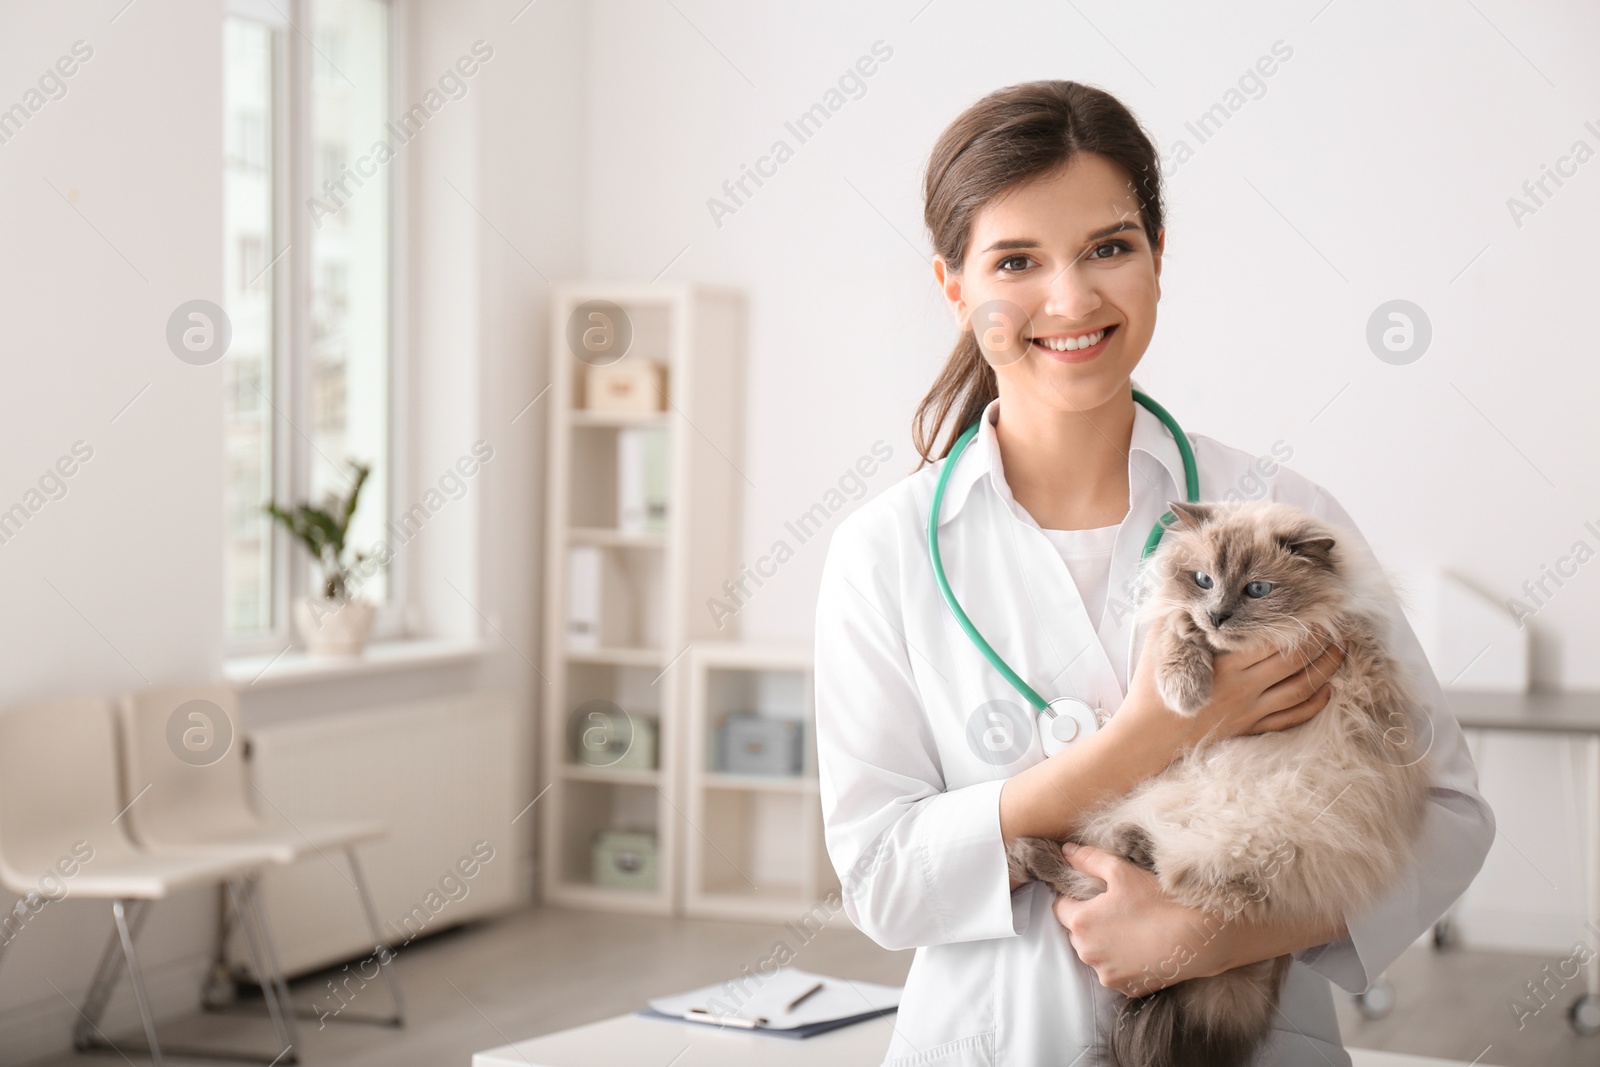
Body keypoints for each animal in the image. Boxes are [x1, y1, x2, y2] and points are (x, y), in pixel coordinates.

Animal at [1004, 499, 1433, 1067]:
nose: (1219, 615)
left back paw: (1102, 848)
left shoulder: (1356, 653)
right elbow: (1178, 626)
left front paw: (1188, 686)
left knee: (1165, 877)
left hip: (1261, 835)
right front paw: (1185, 689)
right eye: (1203, 580)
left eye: (1257, 589)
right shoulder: (1179, 616)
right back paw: (1038, 853)